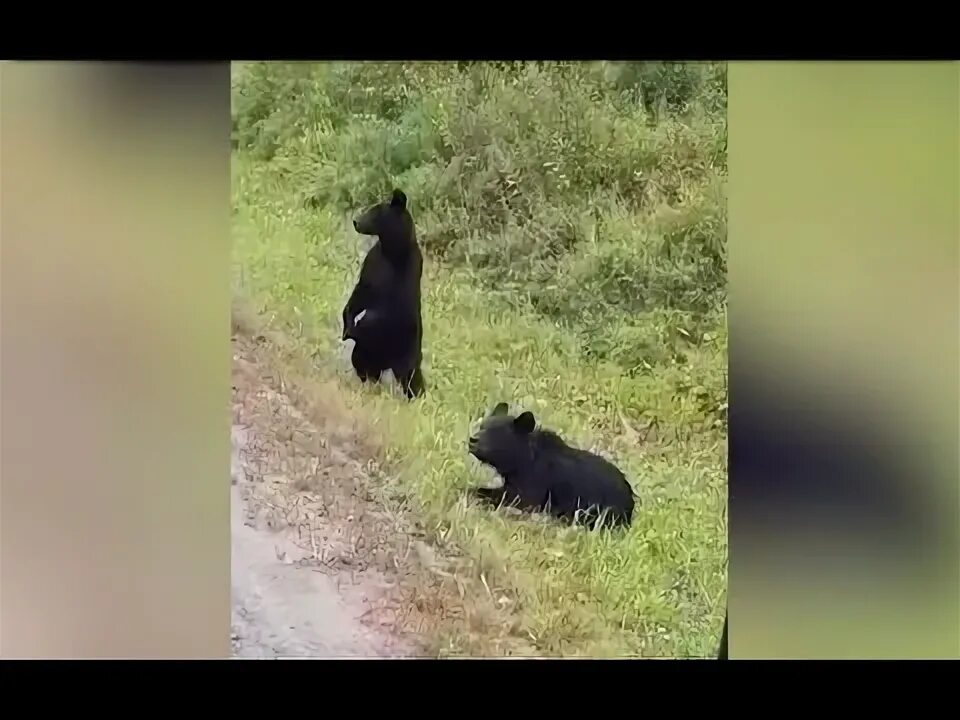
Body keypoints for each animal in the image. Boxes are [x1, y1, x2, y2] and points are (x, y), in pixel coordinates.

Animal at [342, 188, 424, 400]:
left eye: (374, 211)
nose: (356, 221)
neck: (393, 252)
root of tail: (387, 363)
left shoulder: (405, 279)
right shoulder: (373, 262)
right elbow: (360, 293)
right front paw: (347, 326)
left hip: (409, 352)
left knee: (412, 378)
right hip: (368, 353)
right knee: (361, 361)